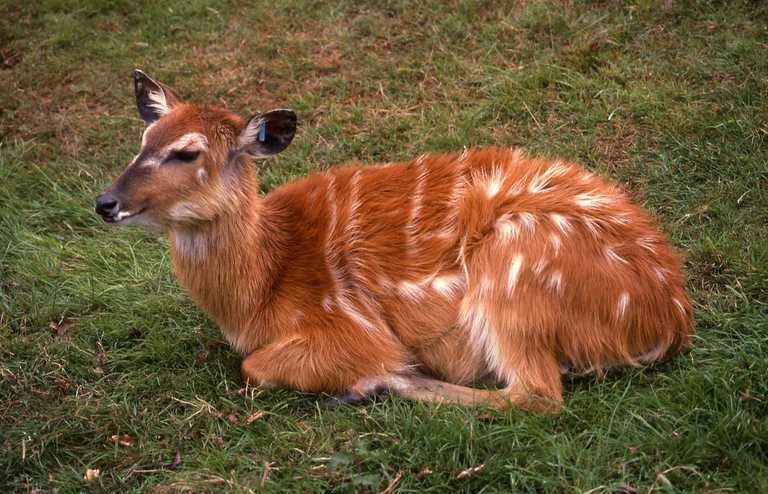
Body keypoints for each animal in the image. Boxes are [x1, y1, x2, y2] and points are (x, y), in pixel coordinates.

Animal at [94, 70, 688, 412]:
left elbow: (253, 367)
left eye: (186, 153)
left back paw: (375, 386)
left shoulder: (350, 328)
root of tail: (669, 321)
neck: (257, 291)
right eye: (144, 139)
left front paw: (373, 376)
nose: (105, 202)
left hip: (515, 270)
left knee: (537, 397)